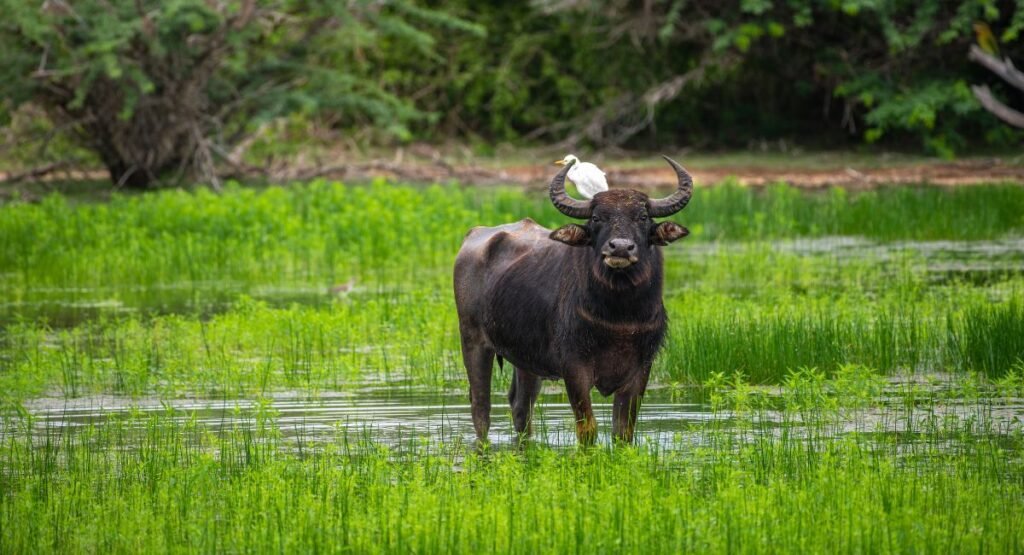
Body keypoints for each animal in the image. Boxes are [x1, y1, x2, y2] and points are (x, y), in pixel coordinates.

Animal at [452, 157, 692, 448]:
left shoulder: (641, 368)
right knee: (480, 407)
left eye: (643, 217)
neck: (619, 315)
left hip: (526, 360)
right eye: (597, 218)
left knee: (520, 406)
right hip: (473, 340)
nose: (620, 248)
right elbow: (587, 429)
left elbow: (623, 431)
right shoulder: (574, 367)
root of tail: (474, 236)